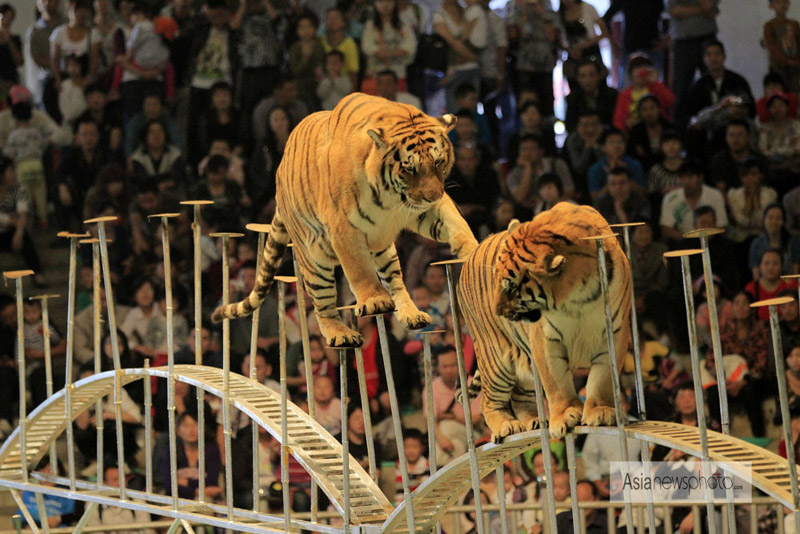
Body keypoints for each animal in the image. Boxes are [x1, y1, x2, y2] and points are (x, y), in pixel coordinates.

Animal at [209, 94, 478, 350]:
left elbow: (456, 222)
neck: (391, 196)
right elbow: (359, 268)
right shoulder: (344, 228)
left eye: (438, 162)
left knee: (395, 281)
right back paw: (342, 334)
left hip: (384, 249)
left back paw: (412, 314)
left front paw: (472, 251)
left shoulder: (423, 208)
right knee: (323, 305)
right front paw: (374, 300)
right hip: (313, 258)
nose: (431, 196)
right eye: (409, 169)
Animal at [456, 203, 632, 442]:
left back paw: (533, 421)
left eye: (511, 287)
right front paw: (565, 415)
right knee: (489, 401)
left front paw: (600, 411)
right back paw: (507, 426)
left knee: (520, 396)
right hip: (495, 359)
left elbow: (603, 378)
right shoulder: (545, 341)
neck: (577, 299)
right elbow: (556, 384)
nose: (497, 311)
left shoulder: (614, 332)